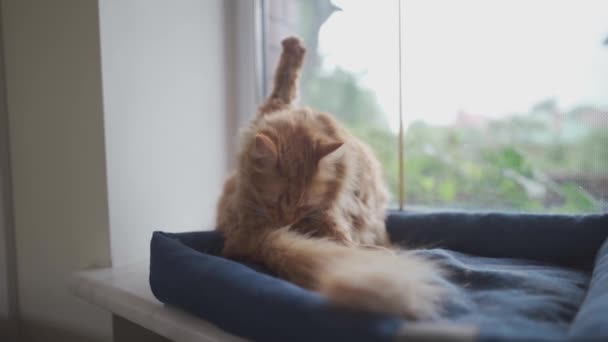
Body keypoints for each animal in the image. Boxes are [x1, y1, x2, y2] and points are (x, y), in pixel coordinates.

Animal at [216, 36, 444, 318]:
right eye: (276, 203)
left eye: (302, 209)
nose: (288, 223)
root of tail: (257, 236)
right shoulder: (273, 107)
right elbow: (285, 83)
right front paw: (293, 48)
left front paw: (293, 48)